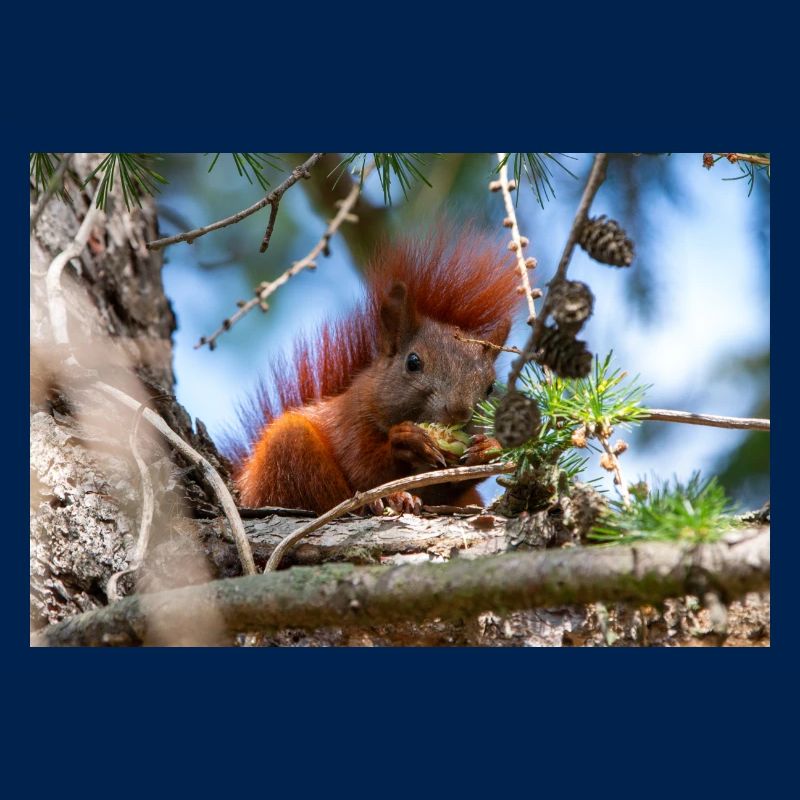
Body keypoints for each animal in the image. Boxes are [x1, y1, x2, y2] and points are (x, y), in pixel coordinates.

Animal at [229, 228, 521, 514]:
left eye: (490, 387)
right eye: (413, 363)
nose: (458, 412)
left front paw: (489, 449)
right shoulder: (349, 423)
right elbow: (365, 468)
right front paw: (405, 441)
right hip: (288, 452)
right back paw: (387, 500)